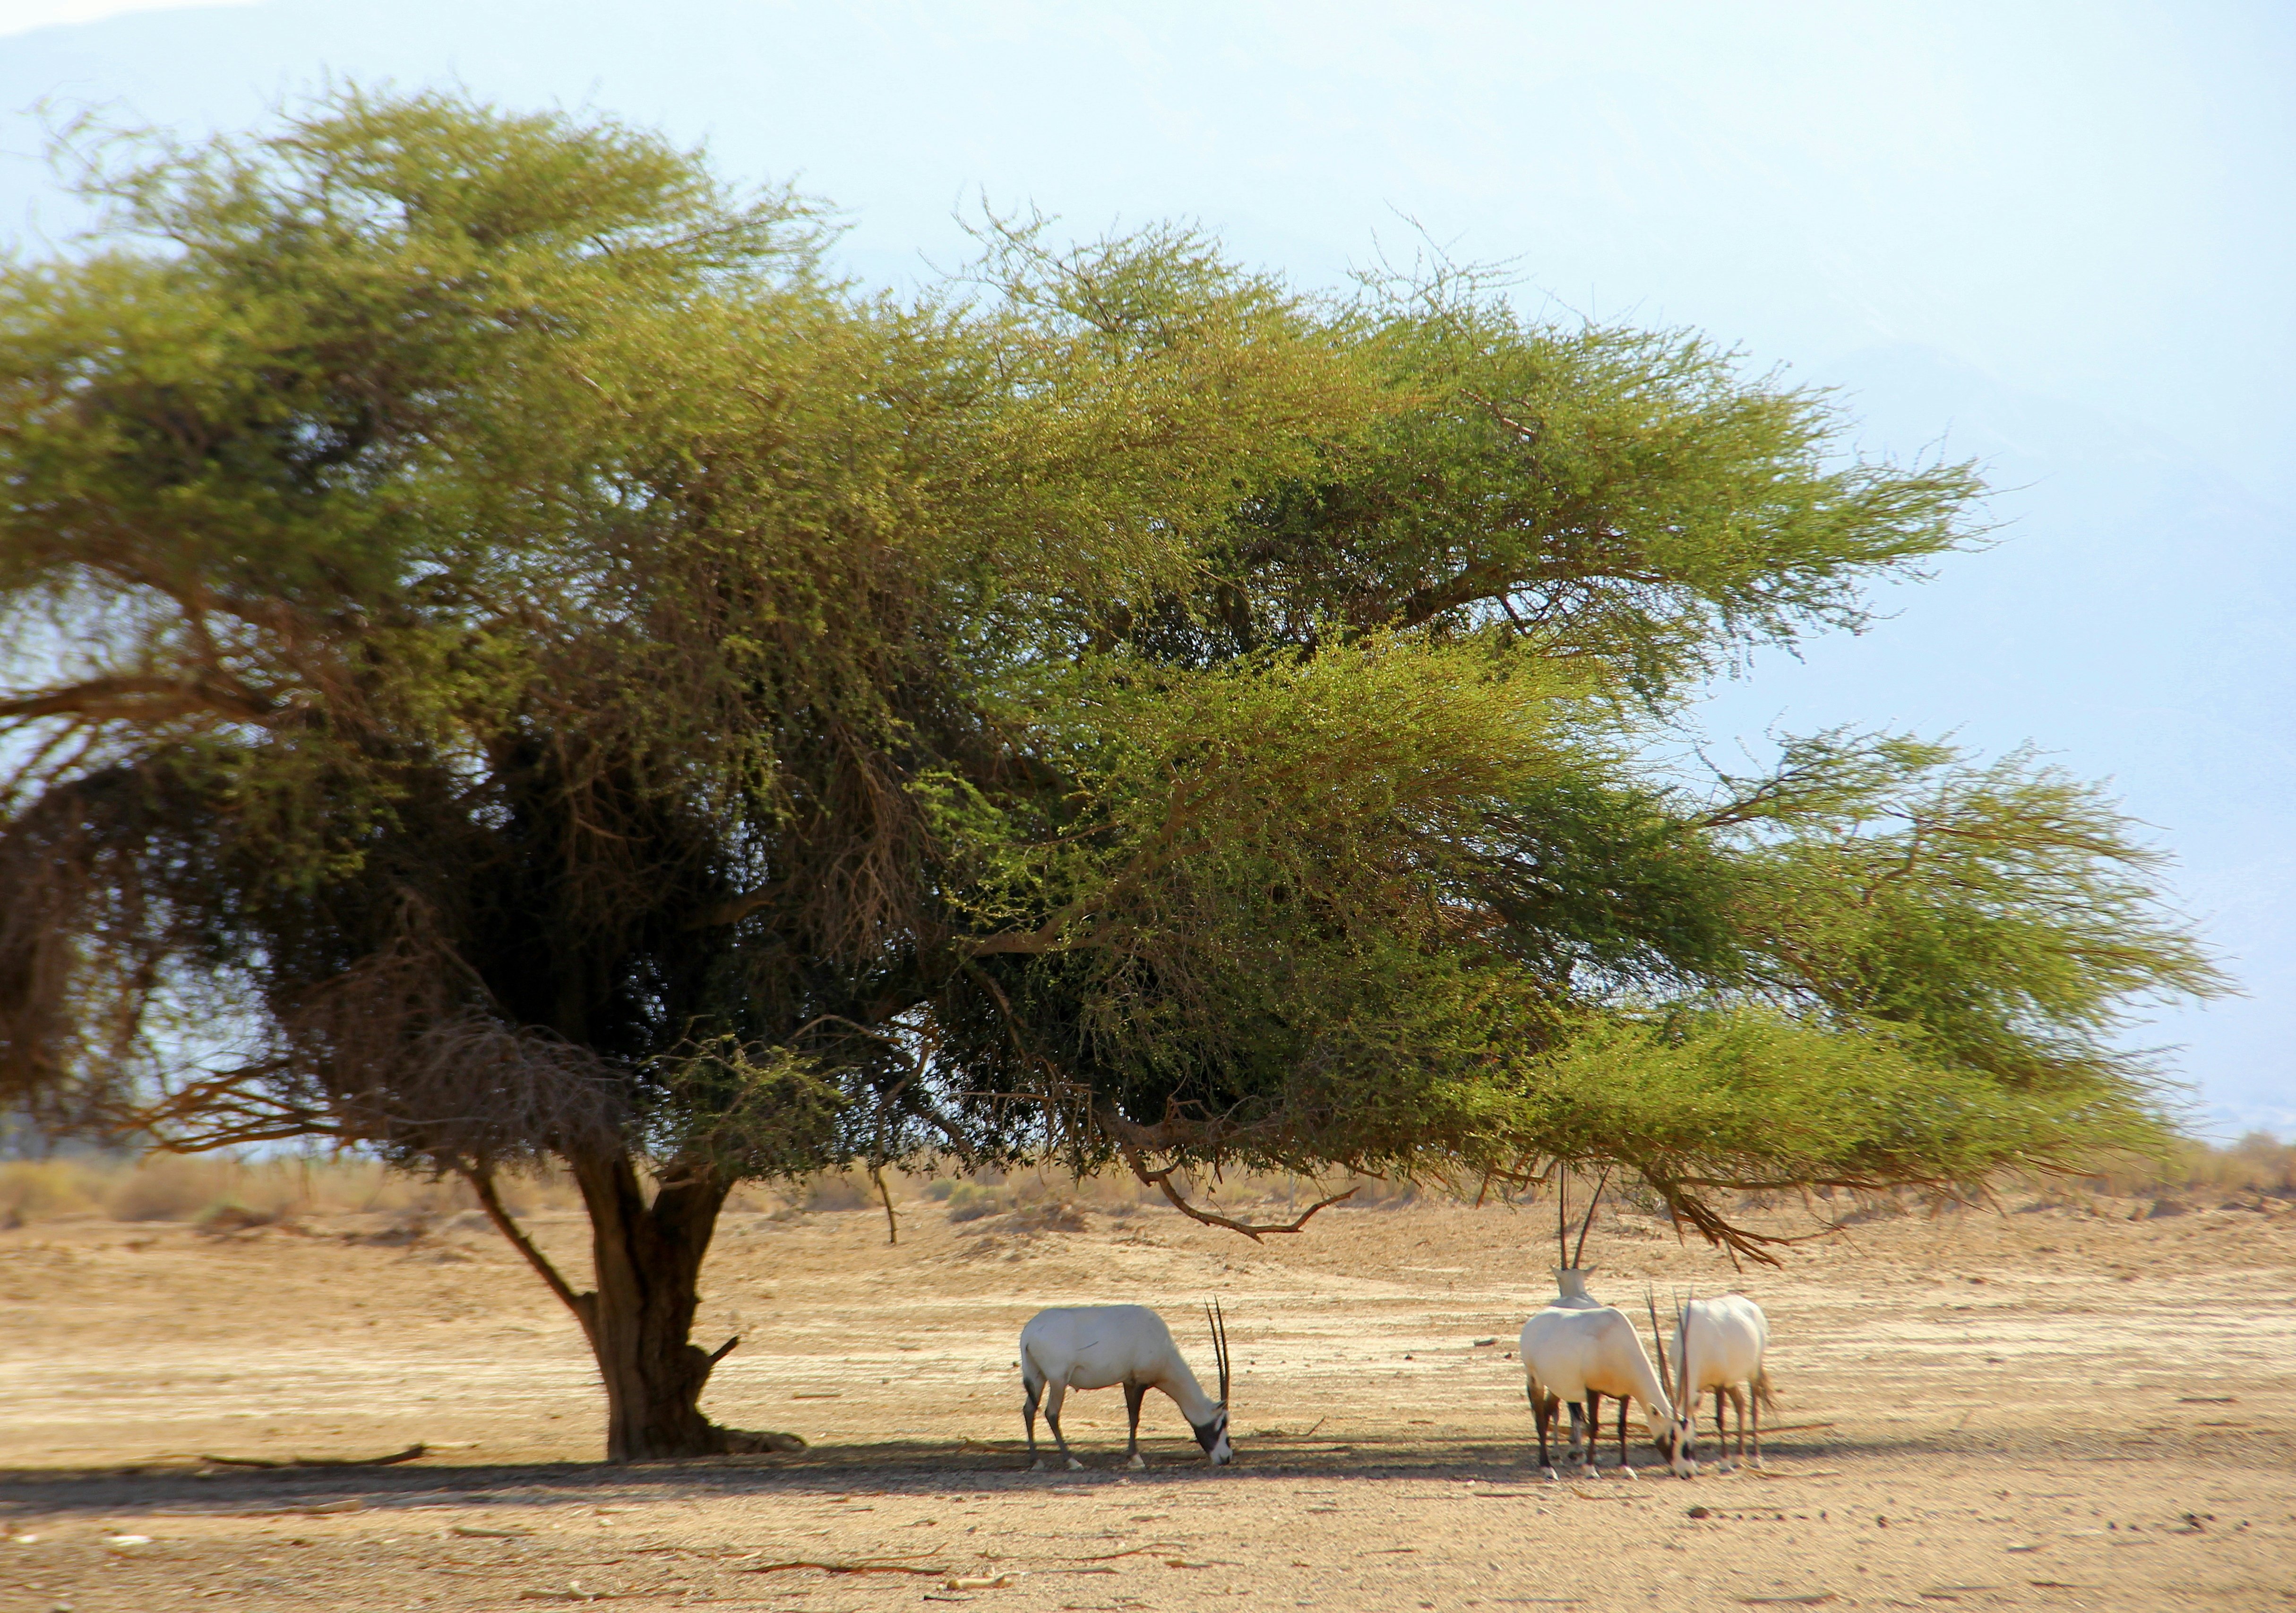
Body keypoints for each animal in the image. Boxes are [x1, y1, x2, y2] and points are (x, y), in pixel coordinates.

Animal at [1018, 1301, 1234, 1471]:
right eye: (1223, 1421)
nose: (1226, 1457)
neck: (1162, 1345)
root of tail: (1029, 1334)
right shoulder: (1139, 1383)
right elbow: (1135, 1418)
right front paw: (1136, 1458)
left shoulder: (1128, 1382)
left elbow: (1131, 1416)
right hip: (1058, 1380)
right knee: (1052, 1413)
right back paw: (1072, 1461)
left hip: (1038, 1377)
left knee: (1029, 1410)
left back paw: (1036, 1461)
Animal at [1520, 1288, 1689, 1479]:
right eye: (1673, 1436)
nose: (1688, 1472)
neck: (1617, 1342)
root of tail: (1534, 1322)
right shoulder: (1593, 1389)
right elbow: (1594, 1426)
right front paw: (1590, 1469)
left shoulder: (1625, 1394)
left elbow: (1622, 1427)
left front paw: (1626, 1468)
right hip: (1535, 1378)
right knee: (1540, 1418)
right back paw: (1547, 1468)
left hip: (1557, 1386)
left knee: (1548, 1412)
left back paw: (1554, 1460)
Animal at [1667, 1292, 1774, 1472]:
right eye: (1671, 1438)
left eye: (1684, 1442)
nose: (1679, 1469)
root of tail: (1752, 1306)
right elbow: (1693, 1419)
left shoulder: (1719, 1383)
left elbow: (1720, 1420)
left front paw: (1724, 1462)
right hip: (1731, 1381)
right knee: (1740, 1404)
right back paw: (1739, 1457)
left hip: (1752, 1372)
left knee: (1754, 1408)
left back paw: (1756, 1458)